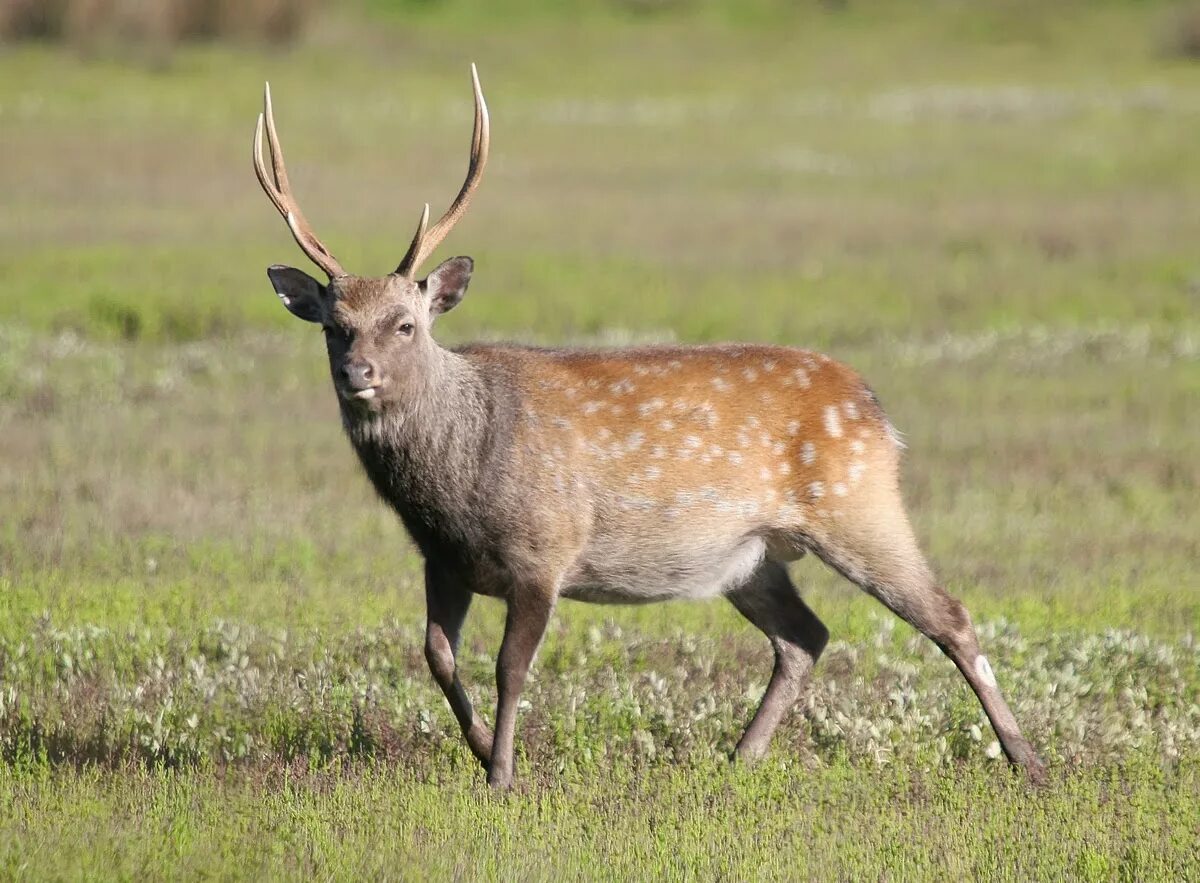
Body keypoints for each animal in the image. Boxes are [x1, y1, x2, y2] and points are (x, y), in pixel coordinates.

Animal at [252, 65, 1046, 789]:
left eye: (405, 324)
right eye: (334, 326)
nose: (357, 373)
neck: (454, 486)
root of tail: (876, 408)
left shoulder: (544, 547)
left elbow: (511, 668)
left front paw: (504, 775)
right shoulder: (441, 560)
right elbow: (437, 656)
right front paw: (480, 750)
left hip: (859, 503)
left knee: (950, 615)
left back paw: (1028, 761)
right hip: (751, 555)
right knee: (805, 636)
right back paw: (739, 757)